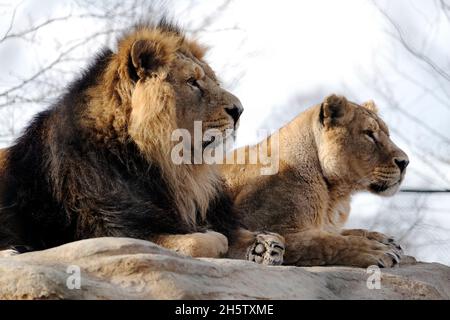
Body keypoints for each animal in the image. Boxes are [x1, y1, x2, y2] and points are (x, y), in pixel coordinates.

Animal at [0, 20, 284, 264]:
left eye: (213, 81)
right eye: (192, 82)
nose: (239, 110)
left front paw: (263, 244)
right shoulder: (110, 230)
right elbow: (198, 242)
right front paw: (217, 238)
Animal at [220, 94, 410, 268]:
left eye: (388, 134)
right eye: (369, 134)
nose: (405, 162)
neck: (334, 195)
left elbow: (343, 232)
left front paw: (384, 238)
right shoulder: (263, 224)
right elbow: (326, 242)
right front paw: (375, 250)